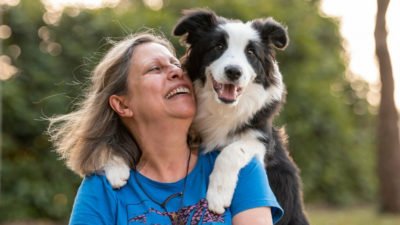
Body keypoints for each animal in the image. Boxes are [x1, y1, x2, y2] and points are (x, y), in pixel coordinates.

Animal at [173, 8, 310, 225]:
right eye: (218, 46)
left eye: (251, 52)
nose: (233, 72)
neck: (224, 108)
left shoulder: (262, 141)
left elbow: (231, 151)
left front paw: (218, 195)